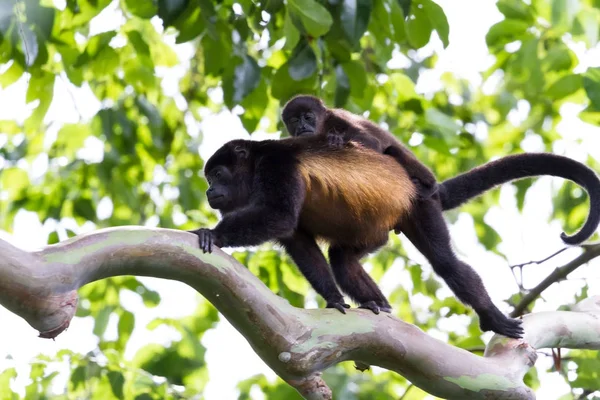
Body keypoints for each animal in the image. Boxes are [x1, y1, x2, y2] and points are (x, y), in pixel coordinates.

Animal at [191, 136, 600, 340]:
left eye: (218, 174)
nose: (209, 192)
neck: (254, 166)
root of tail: (419, 185)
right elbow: (298, 239)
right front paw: (334, 300)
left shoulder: (277, 165)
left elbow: (279, 216)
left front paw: (212, 233)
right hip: (375, 229)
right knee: (343, 258)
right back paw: (378, 306)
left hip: (419, 207)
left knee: (446, 263)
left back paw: (491, 316)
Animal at [282, 94, 436, 200]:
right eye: (295, 120)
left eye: (308, 117)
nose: (302, 126)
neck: (323, 126)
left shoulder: (336, 118)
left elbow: (373, 142)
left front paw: (336, 138)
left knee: (393, 149)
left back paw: (430, 186)